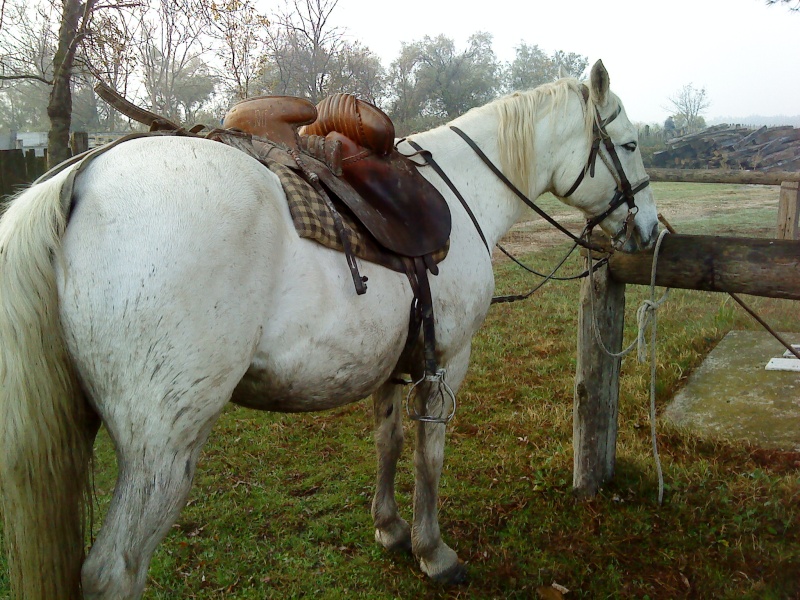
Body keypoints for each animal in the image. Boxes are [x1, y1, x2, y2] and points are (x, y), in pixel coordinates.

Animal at [0, 59, 656, 596]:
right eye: (627, 143)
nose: (649, 229)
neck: (462, 191)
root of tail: (82, 175)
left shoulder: (395, 361)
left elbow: (390, 441)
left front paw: (390, 529)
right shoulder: (447, 360)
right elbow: (431, 455)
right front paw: (433, 552)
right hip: (161, 448)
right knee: (114, 571)